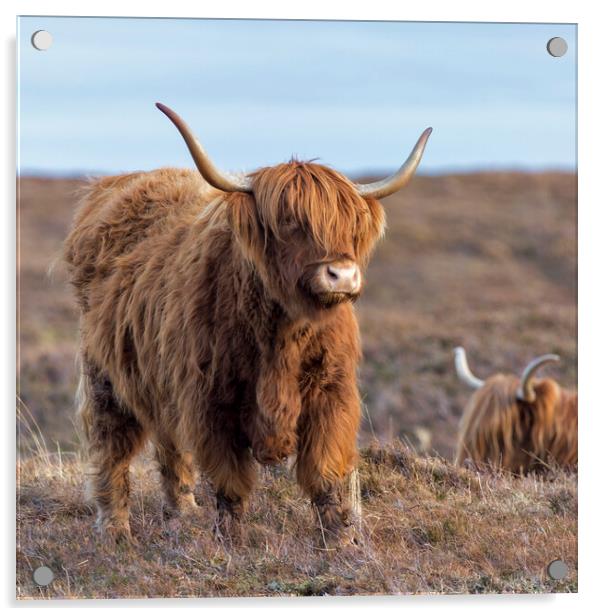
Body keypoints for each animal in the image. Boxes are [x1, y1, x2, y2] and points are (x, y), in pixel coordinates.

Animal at [62, 102, 432, 544]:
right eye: (290, 222)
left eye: (349, 227)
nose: (341, 275)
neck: (283, 333)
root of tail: (115, 188)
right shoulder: (211, 400)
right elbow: (230, 481)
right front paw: (230, 541)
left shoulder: (331, 395)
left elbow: (326, 477)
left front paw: (340, 543)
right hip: (106, 375)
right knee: (112, 448)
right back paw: (116, 531)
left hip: (161, 379)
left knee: (170, 446)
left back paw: (182, 513)